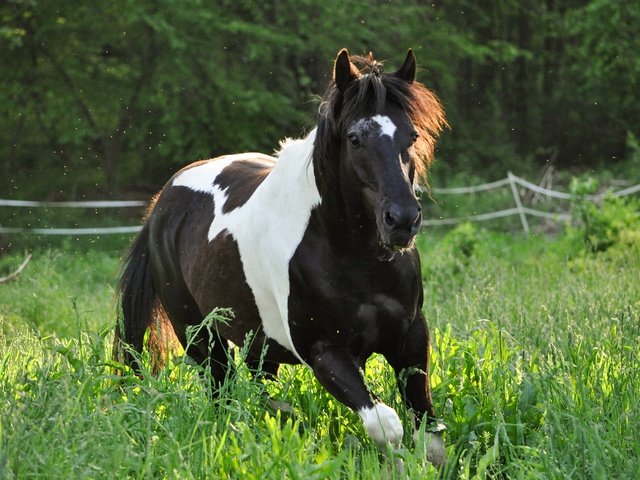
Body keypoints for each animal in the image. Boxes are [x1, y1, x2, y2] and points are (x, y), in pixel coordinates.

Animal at [114, 48, 444, 464]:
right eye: (354, 138)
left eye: (411, 135)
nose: (402, 219)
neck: (358, 262)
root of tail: (161, 203)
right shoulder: (325, 353)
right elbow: (386, 425)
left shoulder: (411, 338)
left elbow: (428, 433)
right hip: (202, 338)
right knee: (222, 395)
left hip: (258, 346)